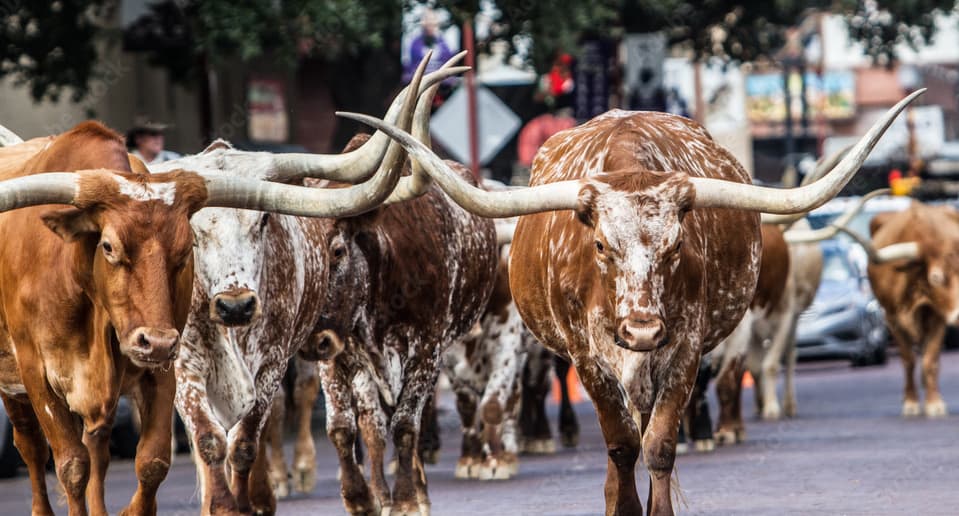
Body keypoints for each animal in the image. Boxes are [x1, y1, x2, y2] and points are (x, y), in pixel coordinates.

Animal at [354, 90, 924, 512]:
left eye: (675, 246)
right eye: (601, 246)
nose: (643, 329)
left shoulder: (686, 347)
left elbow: (658, 444)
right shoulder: (587, 357)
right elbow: (621, 443)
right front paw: (622, 506)